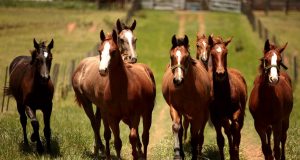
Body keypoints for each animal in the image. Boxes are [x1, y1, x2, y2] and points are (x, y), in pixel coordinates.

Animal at [97, 29, 156, 159]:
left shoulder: (135, 115)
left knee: (145, 136)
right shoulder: (113, 117)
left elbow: (133, 137)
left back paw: (143, 155)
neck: (121, 88)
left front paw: (135, 155)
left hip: (147, 113)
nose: (102, 70)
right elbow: (117, 141)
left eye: (113, 51)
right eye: (99, 51)